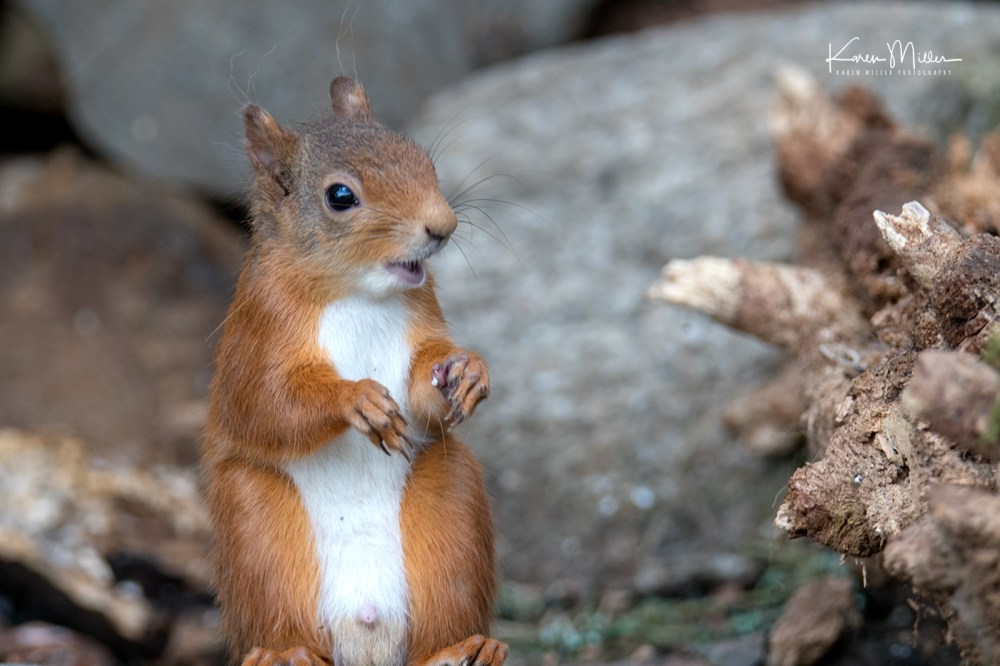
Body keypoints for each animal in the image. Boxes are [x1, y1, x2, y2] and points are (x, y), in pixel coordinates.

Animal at [203, 76, 508, 666]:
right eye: (339, 197)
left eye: (422, 159)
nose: (443, 226)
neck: (357, 291)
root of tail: (365, 634)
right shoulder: (255, 332)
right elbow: (263, 403)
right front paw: (356, 399)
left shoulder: (422, 320)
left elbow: (424, 386)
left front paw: (469, 371)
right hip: (255, 527)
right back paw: (285, 653)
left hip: (450, 507)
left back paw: (465, 647)